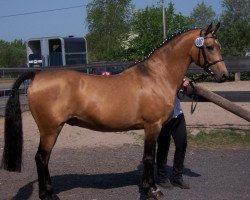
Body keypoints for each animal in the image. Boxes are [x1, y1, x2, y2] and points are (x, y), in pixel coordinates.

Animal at [0, 22, 228, 199]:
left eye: (219, 45)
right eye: (209, 47)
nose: (224, 75)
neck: (156, 76)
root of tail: (38, 75)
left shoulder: (155, 128)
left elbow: (152, 156)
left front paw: (149, 187)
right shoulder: (152, 127)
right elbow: (149, 157)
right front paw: (152, 190)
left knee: (43, 159)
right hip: (50, 130)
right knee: (41, 158)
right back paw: (48, 195)